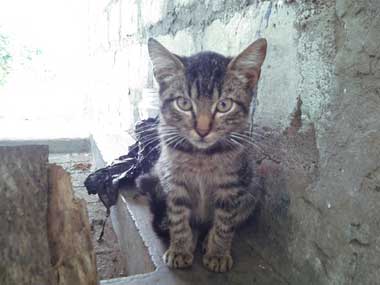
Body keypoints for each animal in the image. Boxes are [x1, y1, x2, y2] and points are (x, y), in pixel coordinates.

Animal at [137, 37, 268, 270]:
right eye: (184, 103)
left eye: (224, 105)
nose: (202, 130)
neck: (201, 156)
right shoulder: (174, 181)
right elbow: (178, 219)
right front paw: (180, 248)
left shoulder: (232, 187)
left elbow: (225, 223)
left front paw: (218, 253)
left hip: (252, 187)